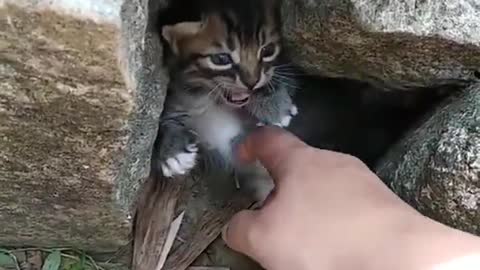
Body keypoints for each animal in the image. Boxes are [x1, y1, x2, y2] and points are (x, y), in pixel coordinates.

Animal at [154, 0, 296, 202]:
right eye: (221, 59)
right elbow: (165, 113)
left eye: (268, 50)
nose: (251, 83)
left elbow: (276, 73)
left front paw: (273, 104)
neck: (209, 97)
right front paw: (173, 151)